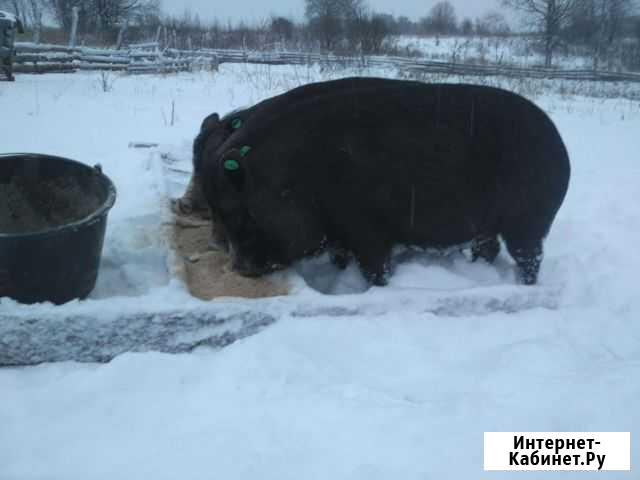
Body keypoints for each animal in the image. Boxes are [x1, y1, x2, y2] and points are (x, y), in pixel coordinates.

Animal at [201, 79, 568, 284]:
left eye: (241, 215)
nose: (239, 268)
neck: (295, 180)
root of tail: (560, 146)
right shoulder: (342, 233)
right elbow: (340, 257)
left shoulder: (368, 228)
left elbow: (375, 268)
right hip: (490, 225)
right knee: (489, 248)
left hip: (529, 220)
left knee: (529, 258)